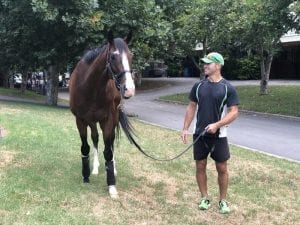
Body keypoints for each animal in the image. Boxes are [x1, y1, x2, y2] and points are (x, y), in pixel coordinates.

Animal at [69, 30, 137, 199]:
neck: (89, 86)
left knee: (110, 143)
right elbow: (85, 147)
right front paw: (86, 176)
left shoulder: (108, 120)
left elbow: (108, 150)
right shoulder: (80, 120)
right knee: (95, 138)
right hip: (92, 121)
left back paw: (112, 167)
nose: (129, 89)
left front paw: (111, 184)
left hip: (111, 119)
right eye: (113, 56)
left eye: (131, 55)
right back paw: (94, 168)